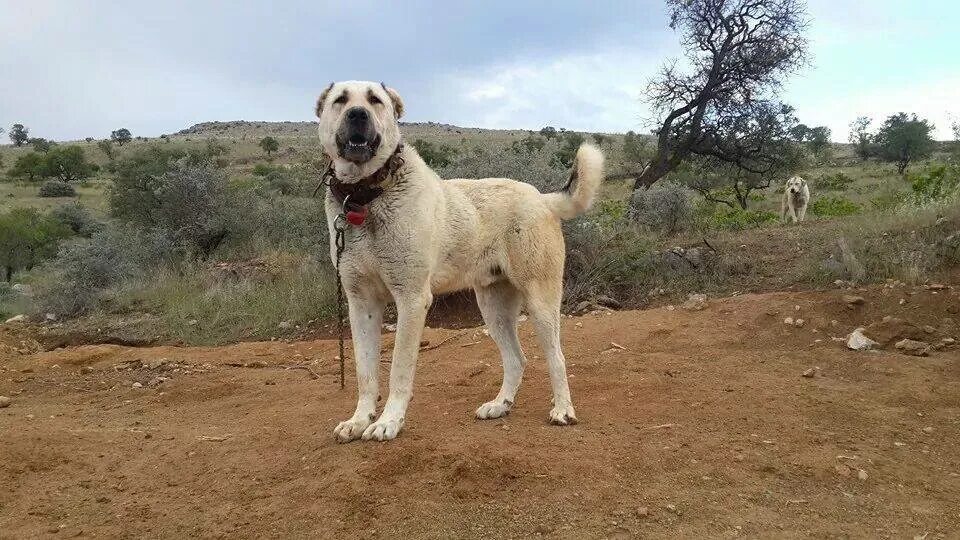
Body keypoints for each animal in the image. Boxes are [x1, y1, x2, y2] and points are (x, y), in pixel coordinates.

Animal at [316, 81, 604, 442]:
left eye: (374, 100)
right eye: (340, 100)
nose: (357, 115)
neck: (365, 196)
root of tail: (542, 198)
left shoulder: (412, 300)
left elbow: (398, 369)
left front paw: (388, 421)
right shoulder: (361, 304)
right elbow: (365, 372)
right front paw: (359, 419)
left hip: (541, 302)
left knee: (557, 357)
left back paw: (563, 410)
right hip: (493, 309)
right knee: (516, 359)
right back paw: (500, 405)